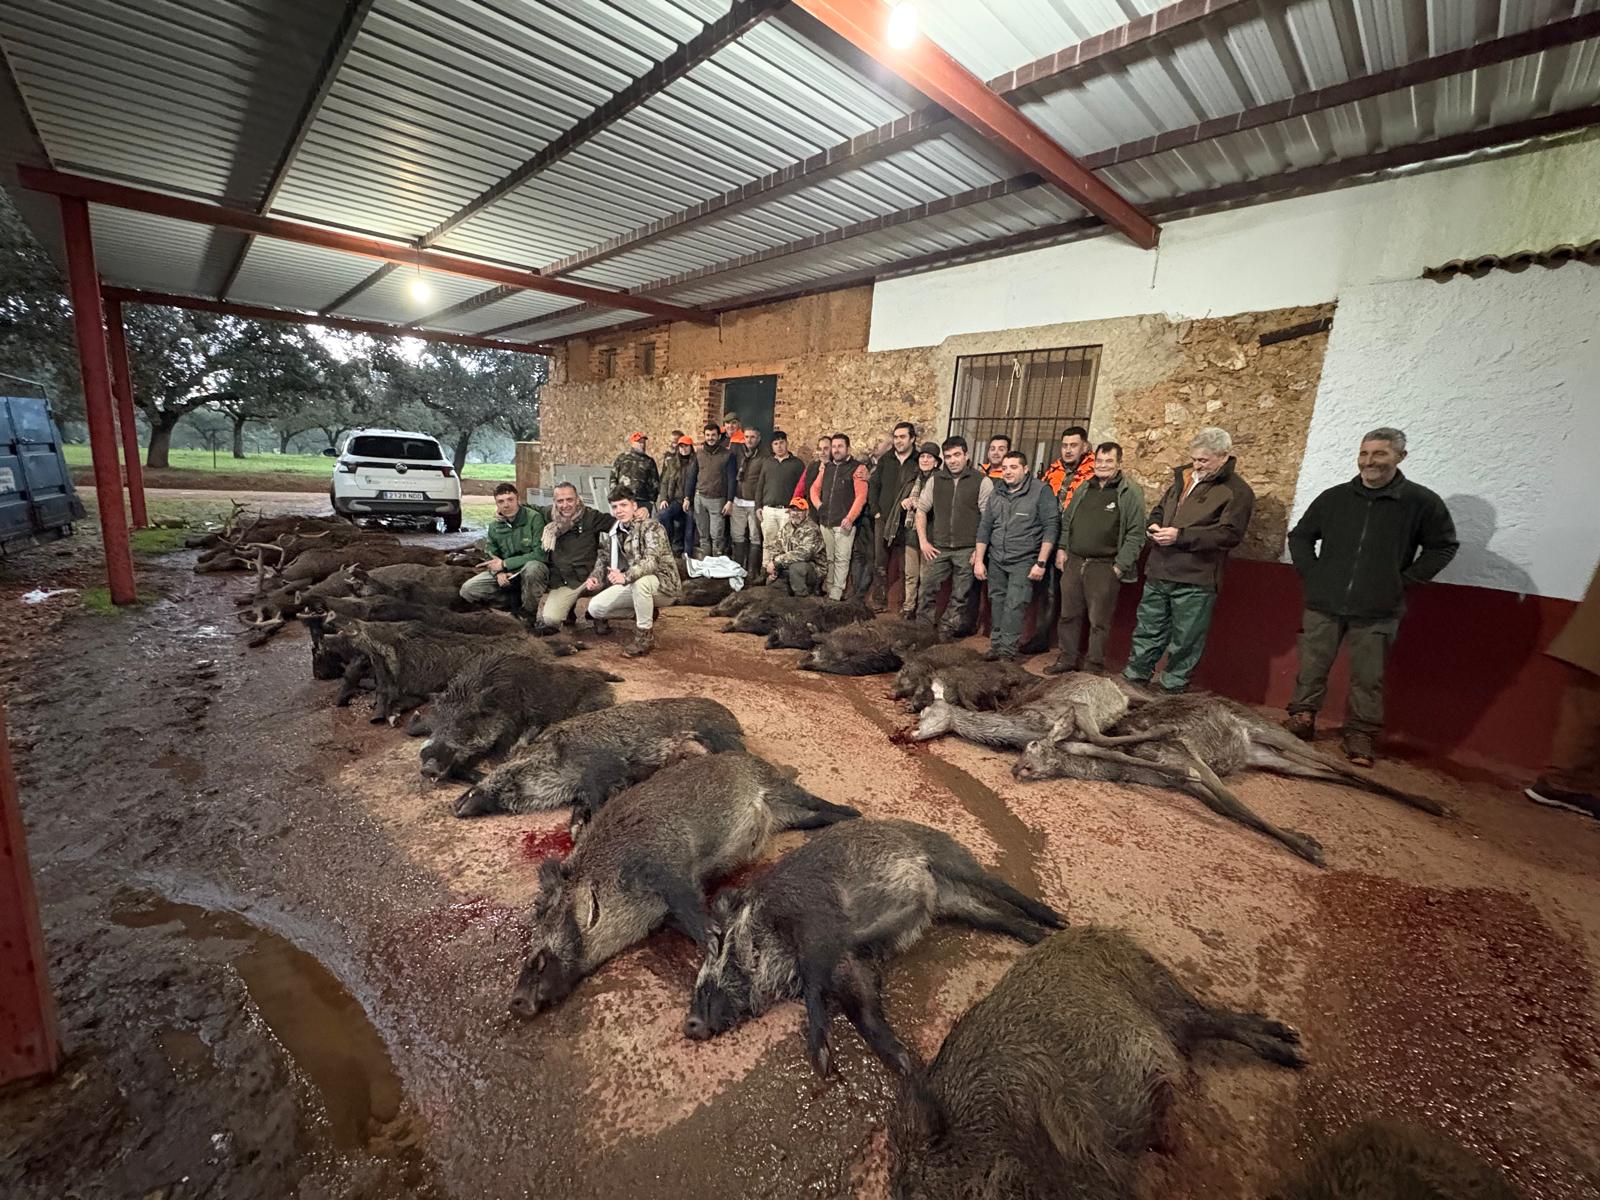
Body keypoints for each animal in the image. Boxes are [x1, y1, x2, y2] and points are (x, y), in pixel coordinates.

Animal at [453, 698, 745, 817]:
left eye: (511, 768)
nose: (454, 805)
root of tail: (732, 717)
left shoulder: (602, 769)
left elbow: (599, 801)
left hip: (719, 734)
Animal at [511, 753, 860, 1017]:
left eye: (544, 909)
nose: (516, 1000)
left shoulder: (667, 861)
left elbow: (687, 901)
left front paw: (713, 941)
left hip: (779, 787)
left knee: (816, 801)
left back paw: (854, 814)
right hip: (785, 815)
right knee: (810, 816)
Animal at [686, 819, 1064, 1076]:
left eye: (717, 947)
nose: (687, 1025)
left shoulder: (815, 926)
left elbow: (812, 989)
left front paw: (822, 1063)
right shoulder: (852, 966)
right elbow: (866, 1015)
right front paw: (906, 1065)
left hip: (955, 861)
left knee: (1001, 888)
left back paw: (1060, 921)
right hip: (956, 903)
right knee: (1000, 919)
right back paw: (1043, 938)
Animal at [889, 925, 1305, 1200]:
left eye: (916, 1191)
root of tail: (1099, 930)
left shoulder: (1083, 1150)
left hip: (1163, 995)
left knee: (1214, 1018)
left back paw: (1292, 1050)